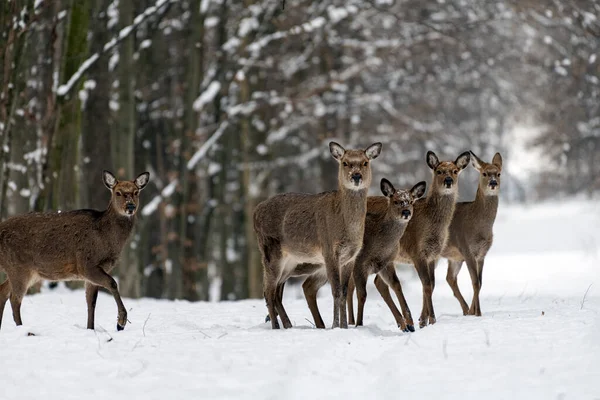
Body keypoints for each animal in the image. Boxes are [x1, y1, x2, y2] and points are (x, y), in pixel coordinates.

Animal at [0, 170, 149, 332]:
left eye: (136, 192)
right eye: (118, 192)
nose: (130, 206)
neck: (106, 239)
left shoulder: (92, 274)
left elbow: (91, 303)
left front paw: (91, 329)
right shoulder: (86, 264)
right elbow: (113, 283)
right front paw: (120, 322)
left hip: (26, 272)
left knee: (2, 292)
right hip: (18, 267)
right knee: (14, 299)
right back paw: (22, 328)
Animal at [255, 142, 382, 330]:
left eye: (365, 162)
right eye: (345, 162)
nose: (356, 176)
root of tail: (255, 212)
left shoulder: (350, 257)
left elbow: (344, 292)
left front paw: (344, 326)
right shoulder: (329, 249)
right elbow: (336, 291)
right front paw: (335, 325)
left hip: (290, 261)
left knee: (276, 290)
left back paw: (288, 325)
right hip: (270, 252)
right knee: (268, 290)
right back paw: (276, 327)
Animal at [344, 178, 428, 332]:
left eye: (411, 201)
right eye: (395, 201)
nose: (406, 212)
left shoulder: (386, 262)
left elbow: (396, 285)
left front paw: (409, 323)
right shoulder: (360, 263)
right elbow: (362, 294)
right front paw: (360, 324)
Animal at [440, 152, 502, 318]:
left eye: (499, 173)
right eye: (485, 173)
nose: (493, 183)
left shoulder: (481, 254)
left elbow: (480, 283)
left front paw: (474, 312)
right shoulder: (466, 248)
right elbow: (475, 282)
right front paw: (477, 313)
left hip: (454, 257)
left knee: (450, 277)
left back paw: (466, 310)